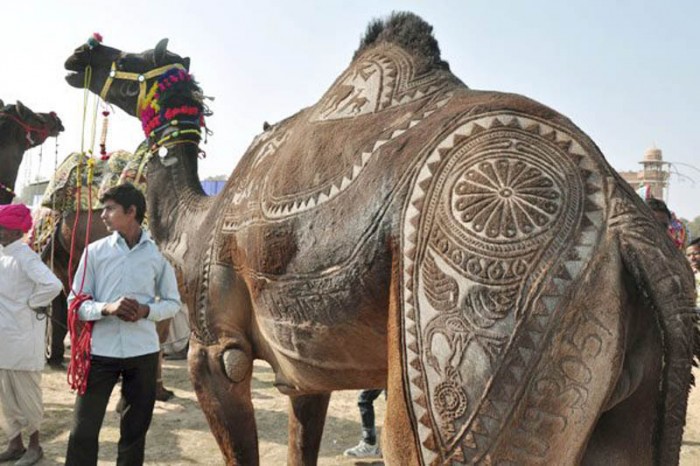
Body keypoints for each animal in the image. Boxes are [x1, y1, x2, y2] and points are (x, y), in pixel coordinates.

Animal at [64, 11, 696, 466]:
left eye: (138, 56)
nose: (79, 54)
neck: (195, 225)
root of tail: (627, 224)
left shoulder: (216, 349)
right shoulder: (301, 371)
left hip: (462, 377)